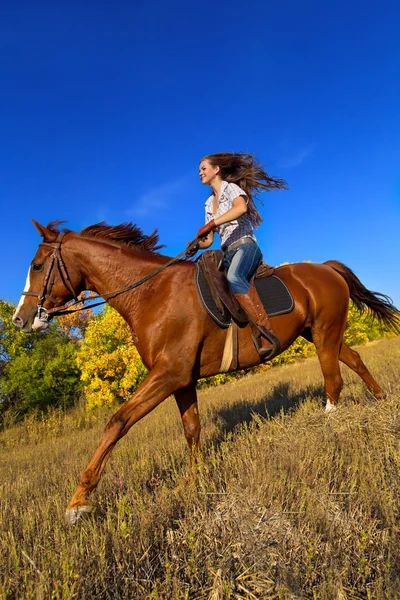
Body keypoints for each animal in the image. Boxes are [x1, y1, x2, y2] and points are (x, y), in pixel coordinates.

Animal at [12, 219, 400, 520]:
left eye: (37, 265)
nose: (20, 319)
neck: (152, 293)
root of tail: (324, 267)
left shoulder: (168, 375)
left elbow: (117, 423)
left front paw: (78, 502)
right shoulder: (182, 380)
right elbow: (191, 428)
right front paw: (191, 481)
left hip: (324, 332)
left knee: (333, 378)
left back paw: (331, 424)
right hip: (321, 334)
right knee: (352, 360)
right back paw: (381, 401)